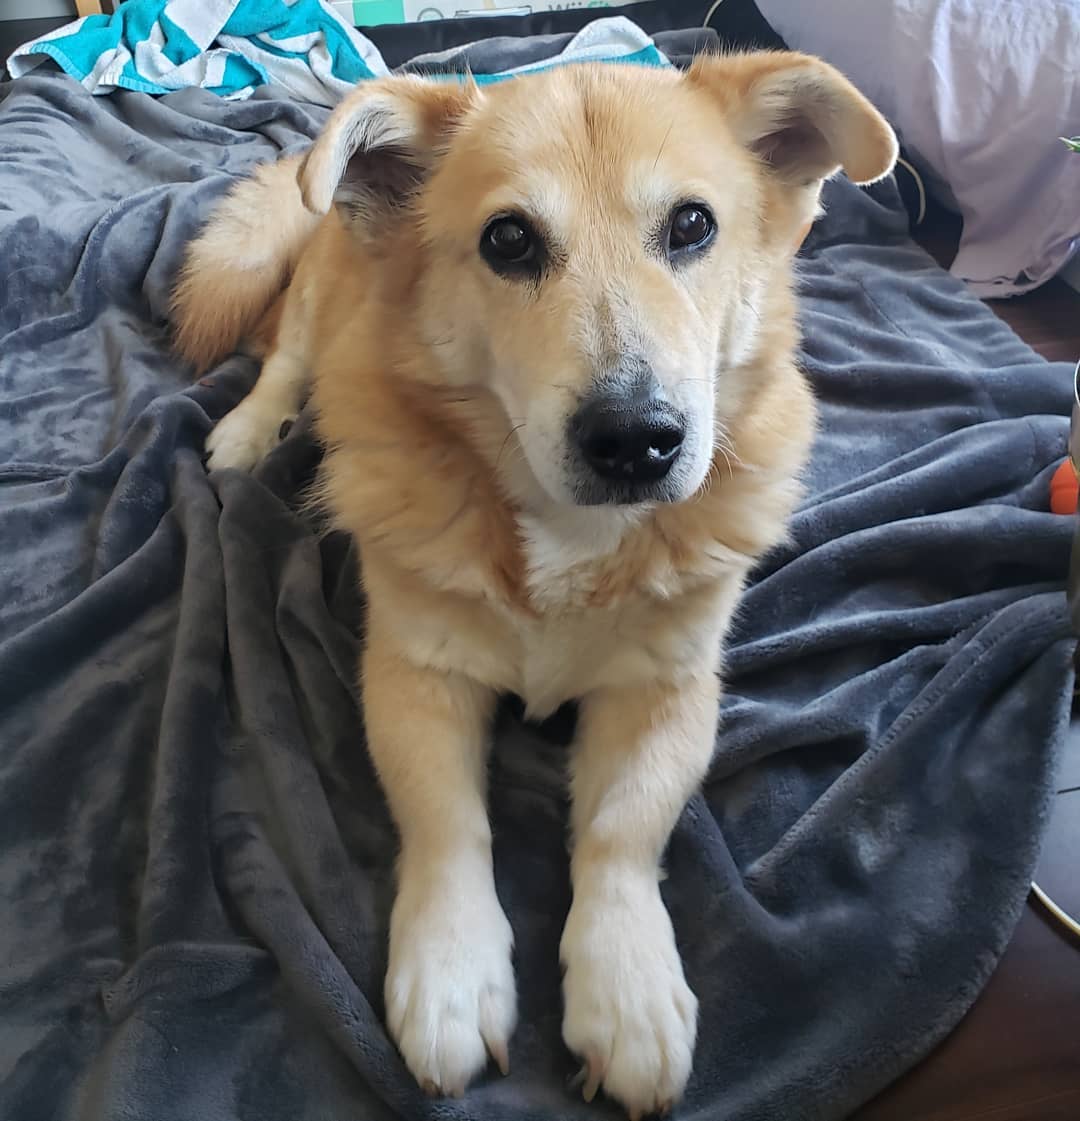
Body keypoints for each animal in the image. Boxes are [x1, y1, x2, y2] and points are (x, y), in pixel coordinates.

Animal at [169, 54, 897, 1121]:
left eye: (693, 225)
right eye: (508, 240)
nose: (636, 439)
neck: (569, 533)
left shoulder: (671, 688)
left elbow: (623, 827)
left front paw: (626, 986)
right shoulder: (414, 673)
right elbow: (446, 820)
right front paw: (451, 968)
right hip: (320, 290)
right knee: (288, 358)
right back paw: (248, 431)